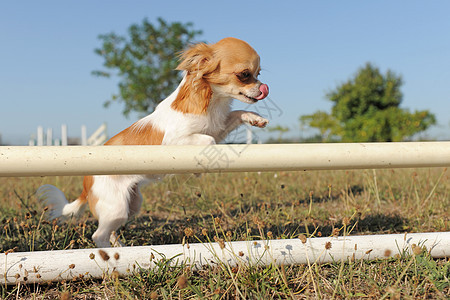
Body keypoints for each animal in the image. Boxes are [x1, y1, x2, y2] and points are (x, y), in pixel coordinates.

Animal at [37, 37, 268, 247]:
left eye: (258, 74)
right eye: (244, 75)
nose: (263, 88)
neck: (213, 102)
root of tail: (86, 184)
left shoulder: (218, 127)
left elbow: (235, 115)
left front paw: (254, 118)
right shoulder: (176, 139)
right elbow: (208, 140)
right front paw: (199, 168)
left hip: (131, 205)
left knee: (110, 232)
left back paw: (120, 248)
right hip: (116, 207)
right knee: (98, 236)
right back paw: (109, 256)